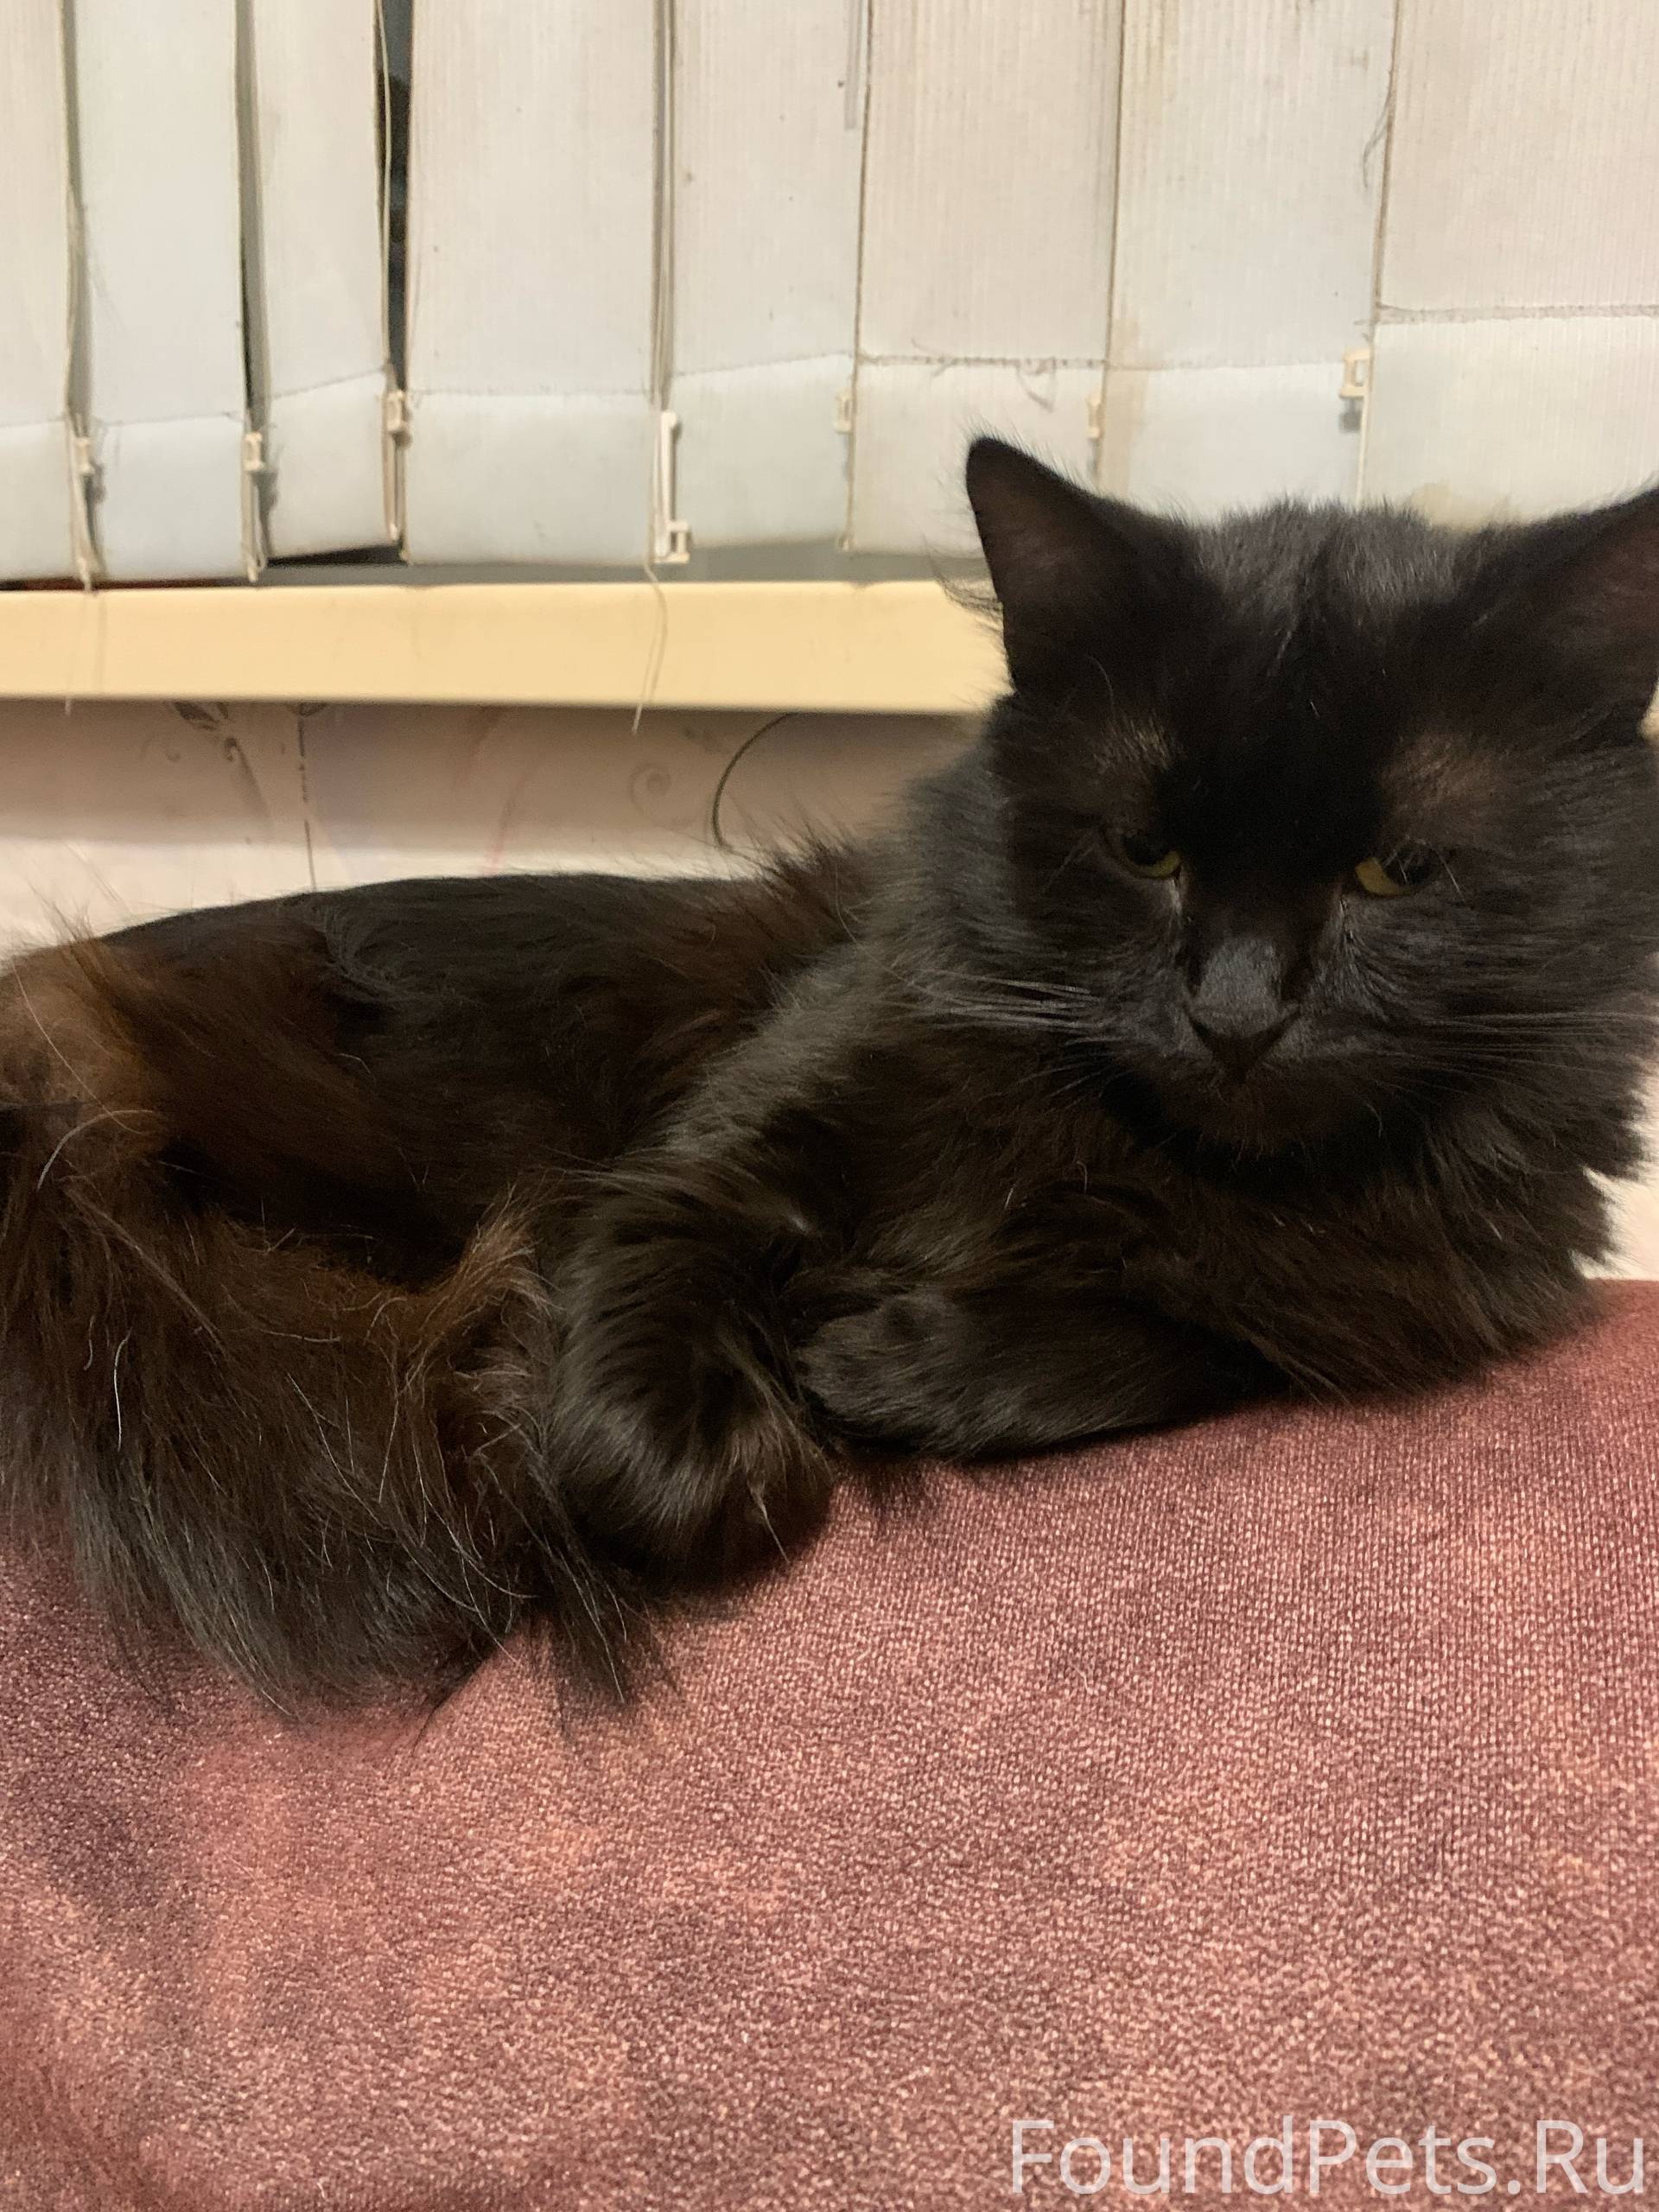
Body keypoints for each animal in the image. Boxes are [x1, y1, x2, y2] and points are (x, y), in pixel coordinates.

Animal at [2, 435, 1657, 1701]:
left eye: (1397, 872)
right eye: (1145, 854)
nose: (1236, 1016)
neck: (1158, 1155)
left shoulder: (1385, 1306)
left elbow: (1176, 1335)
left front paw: (878, 1360)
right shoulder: (721, 1148)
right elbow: (638, 1366)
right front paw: (753, 1455)